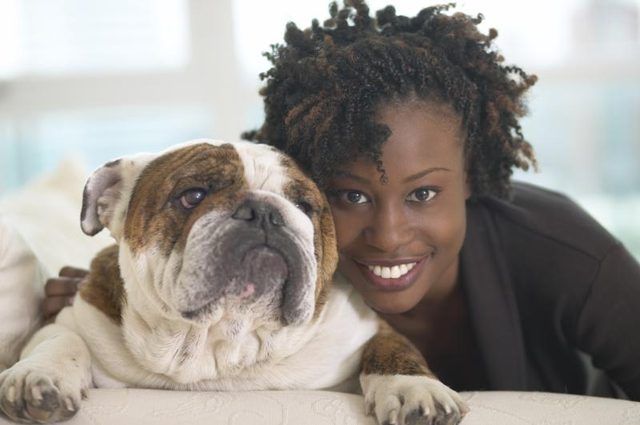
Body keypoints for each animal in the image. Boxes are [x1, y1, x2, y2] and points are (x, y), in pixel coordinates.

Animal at [0, 140, 468, 424]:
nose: (265, 212)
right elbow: (59, 340)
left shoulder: (367, 328)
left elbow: (391, 350)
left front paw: (413, 389)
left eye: (305, 206)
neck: (223, 344)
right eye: (192, 195)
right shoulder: (76, 317)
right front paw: (40, 376)